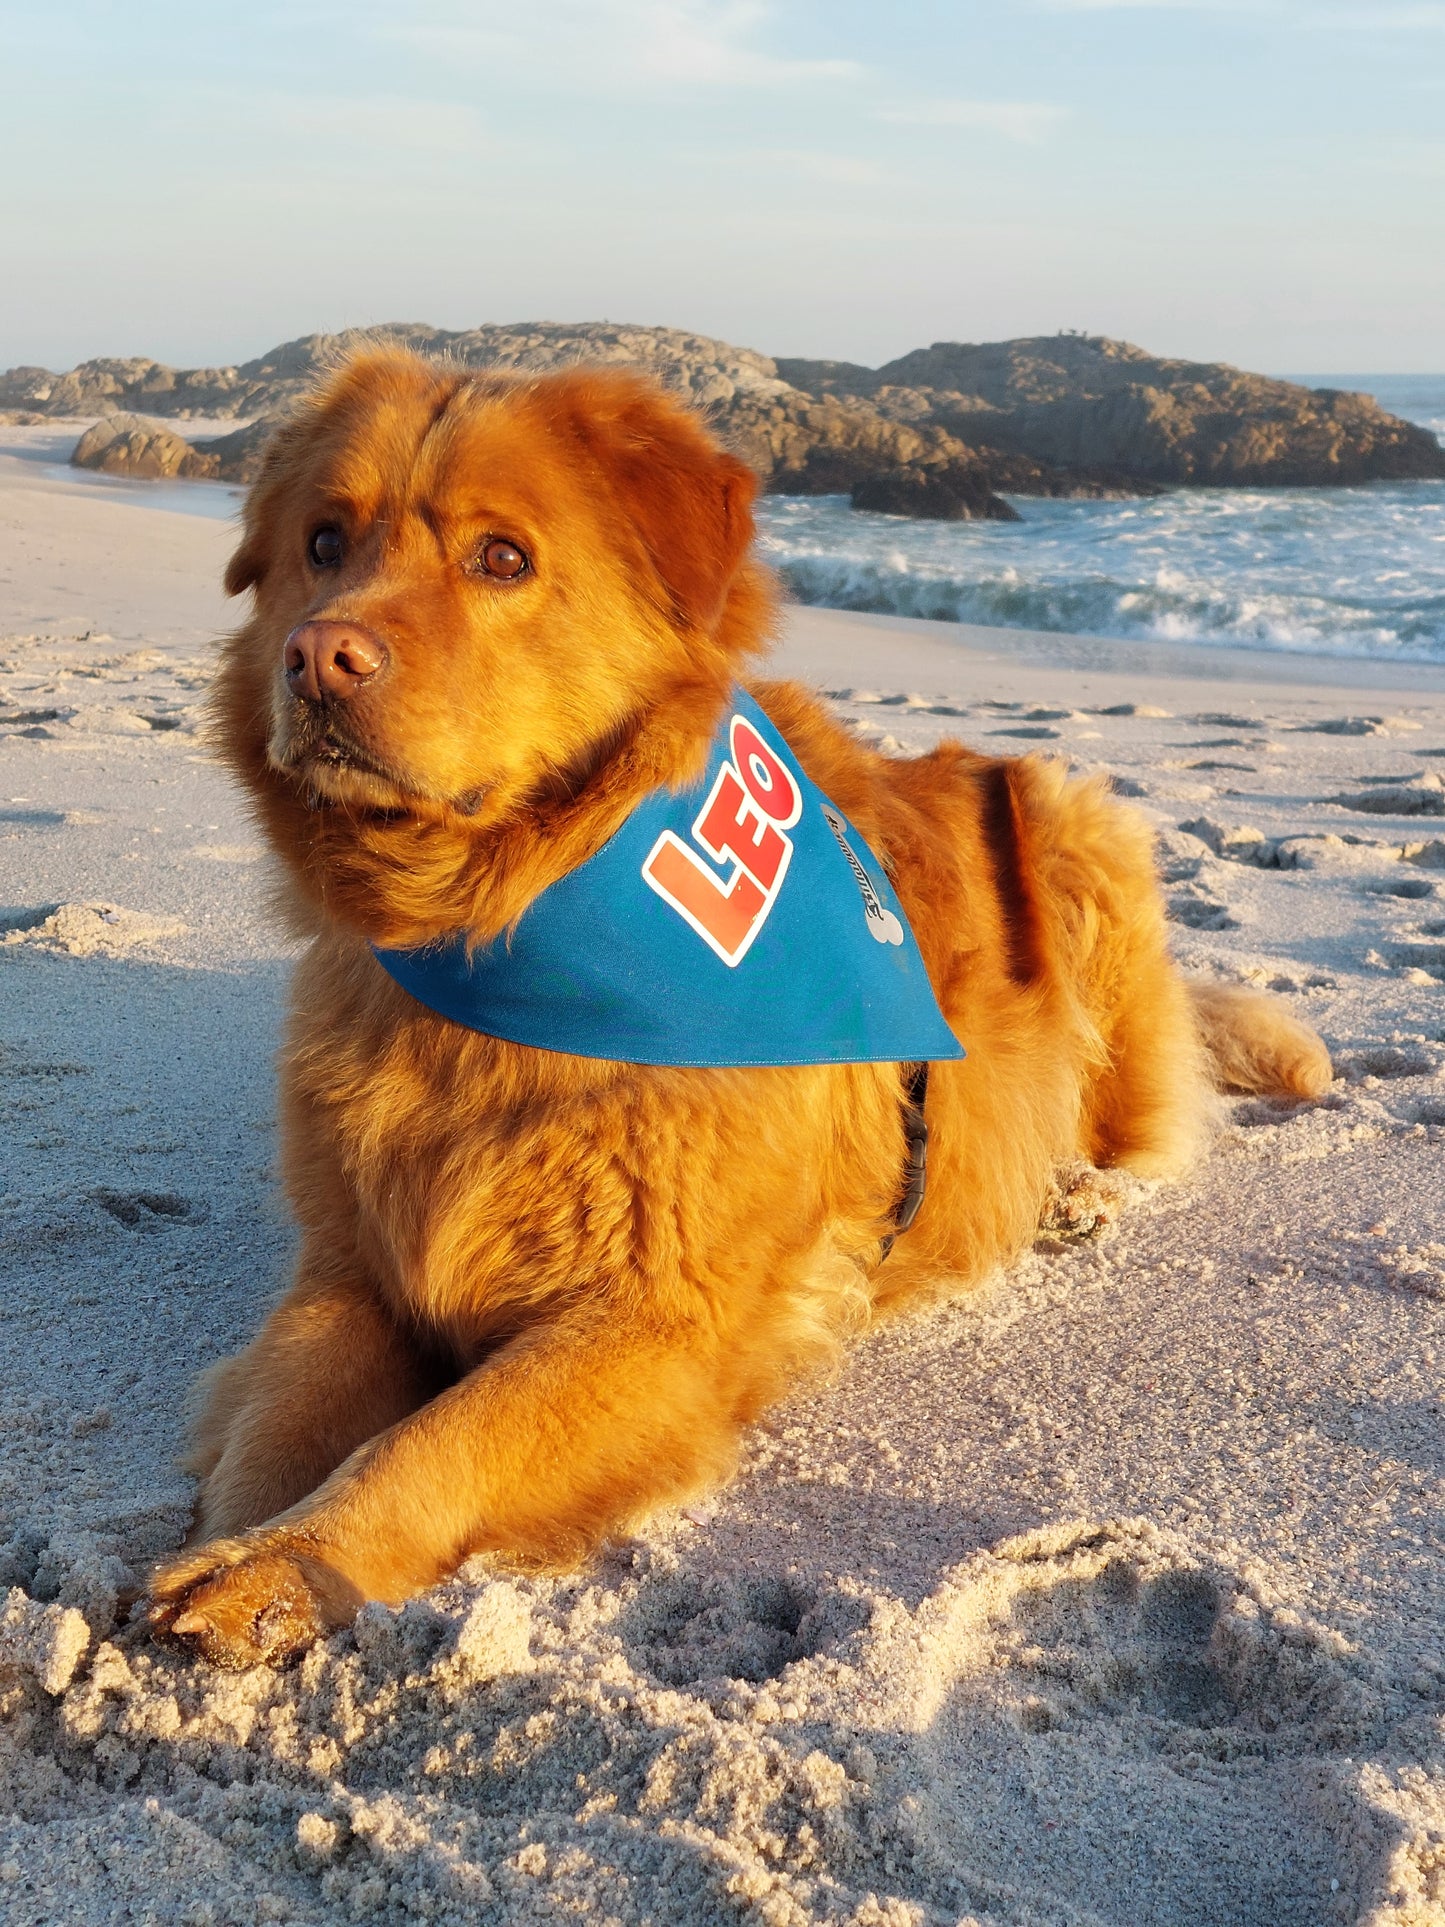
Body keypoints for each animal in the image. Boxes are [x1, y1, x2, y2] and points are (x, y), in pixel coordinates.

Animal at [147, 354, 1333, 1664]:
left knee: (1144, 1130)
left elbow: (435, 1441)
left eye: (501, 557)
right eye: (322, 543)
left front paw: (288, 1562)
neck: (493, 941)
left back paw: (1074, 1192)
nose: (319, 657)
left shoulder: (661, 1318)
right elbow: (283, 1413)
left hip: (1080, 835)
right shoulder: (352, 1265)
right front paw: (232, 1546)